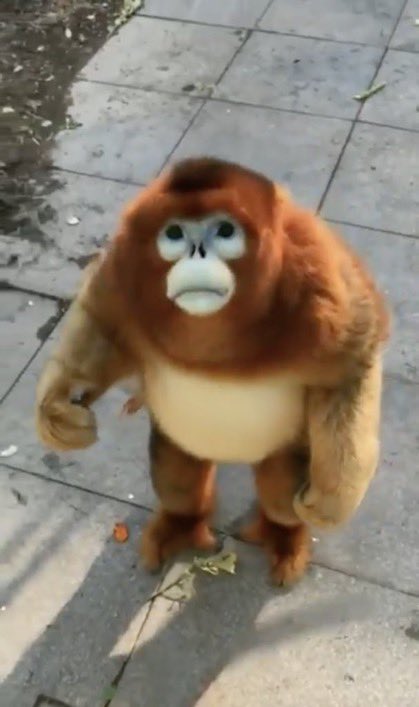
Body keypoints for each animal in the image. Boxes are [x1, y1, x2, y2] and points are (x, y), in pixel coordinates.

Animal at [35, 157, 390, 585]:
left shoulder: (322, 278)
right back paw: (181, 523)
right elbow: (100, 322)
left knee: (280, 492)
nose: (198, 252)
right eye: (173, 233)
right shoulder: (122, 267)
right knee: (176, 475)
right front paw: (56, 411)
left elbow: (353, 365)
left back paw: (283, 535)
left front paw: (333, 499)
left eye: (224, 231)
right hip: (179, 442)